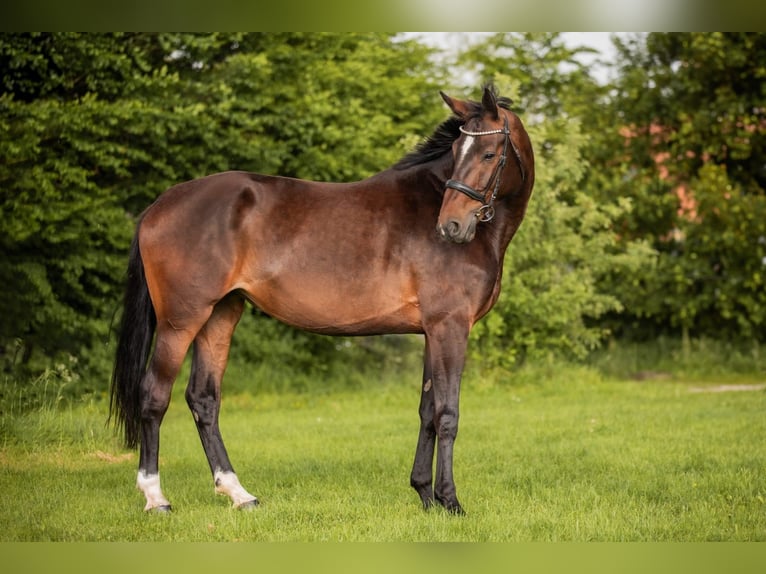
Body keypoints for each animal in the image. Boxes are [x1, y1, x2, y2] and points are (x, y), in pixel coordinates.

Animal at [111, 85, 536, 516]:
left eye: (488, 154)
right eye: (456, 152)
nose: (451, 226)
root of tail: (157, 206)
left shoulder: (432, 332)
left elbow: (427, 412)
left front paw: (425, 495)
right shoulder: (450, 326)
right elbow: (447, 414)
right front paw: (449, 501)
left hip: (219, 316)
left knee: (203, 400)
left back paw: (239, 494)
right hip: (180, 321)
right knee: (154, 396)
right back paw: (155, 497)